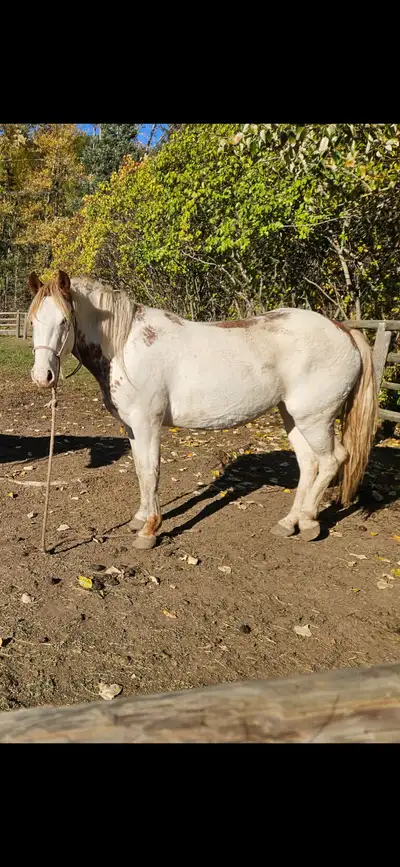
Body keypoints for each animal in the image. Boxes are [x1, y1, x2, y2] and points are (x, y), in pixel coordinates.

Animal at [27, 270, 377, 549]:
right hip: (292, 416)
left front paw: (149, 531)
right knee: (309, 464)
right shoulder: (132, 427)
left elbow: (151, 472)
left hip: (315, 419)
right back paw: (287, 523)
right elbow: (140, 470)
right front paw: (140, 518)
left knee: (332, 461)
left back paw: (307, 522)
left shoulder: (147, 423)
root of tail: (344, 330)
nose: (42, 376)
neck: (126, 347)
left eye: (64, 321)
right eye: (32, 321)